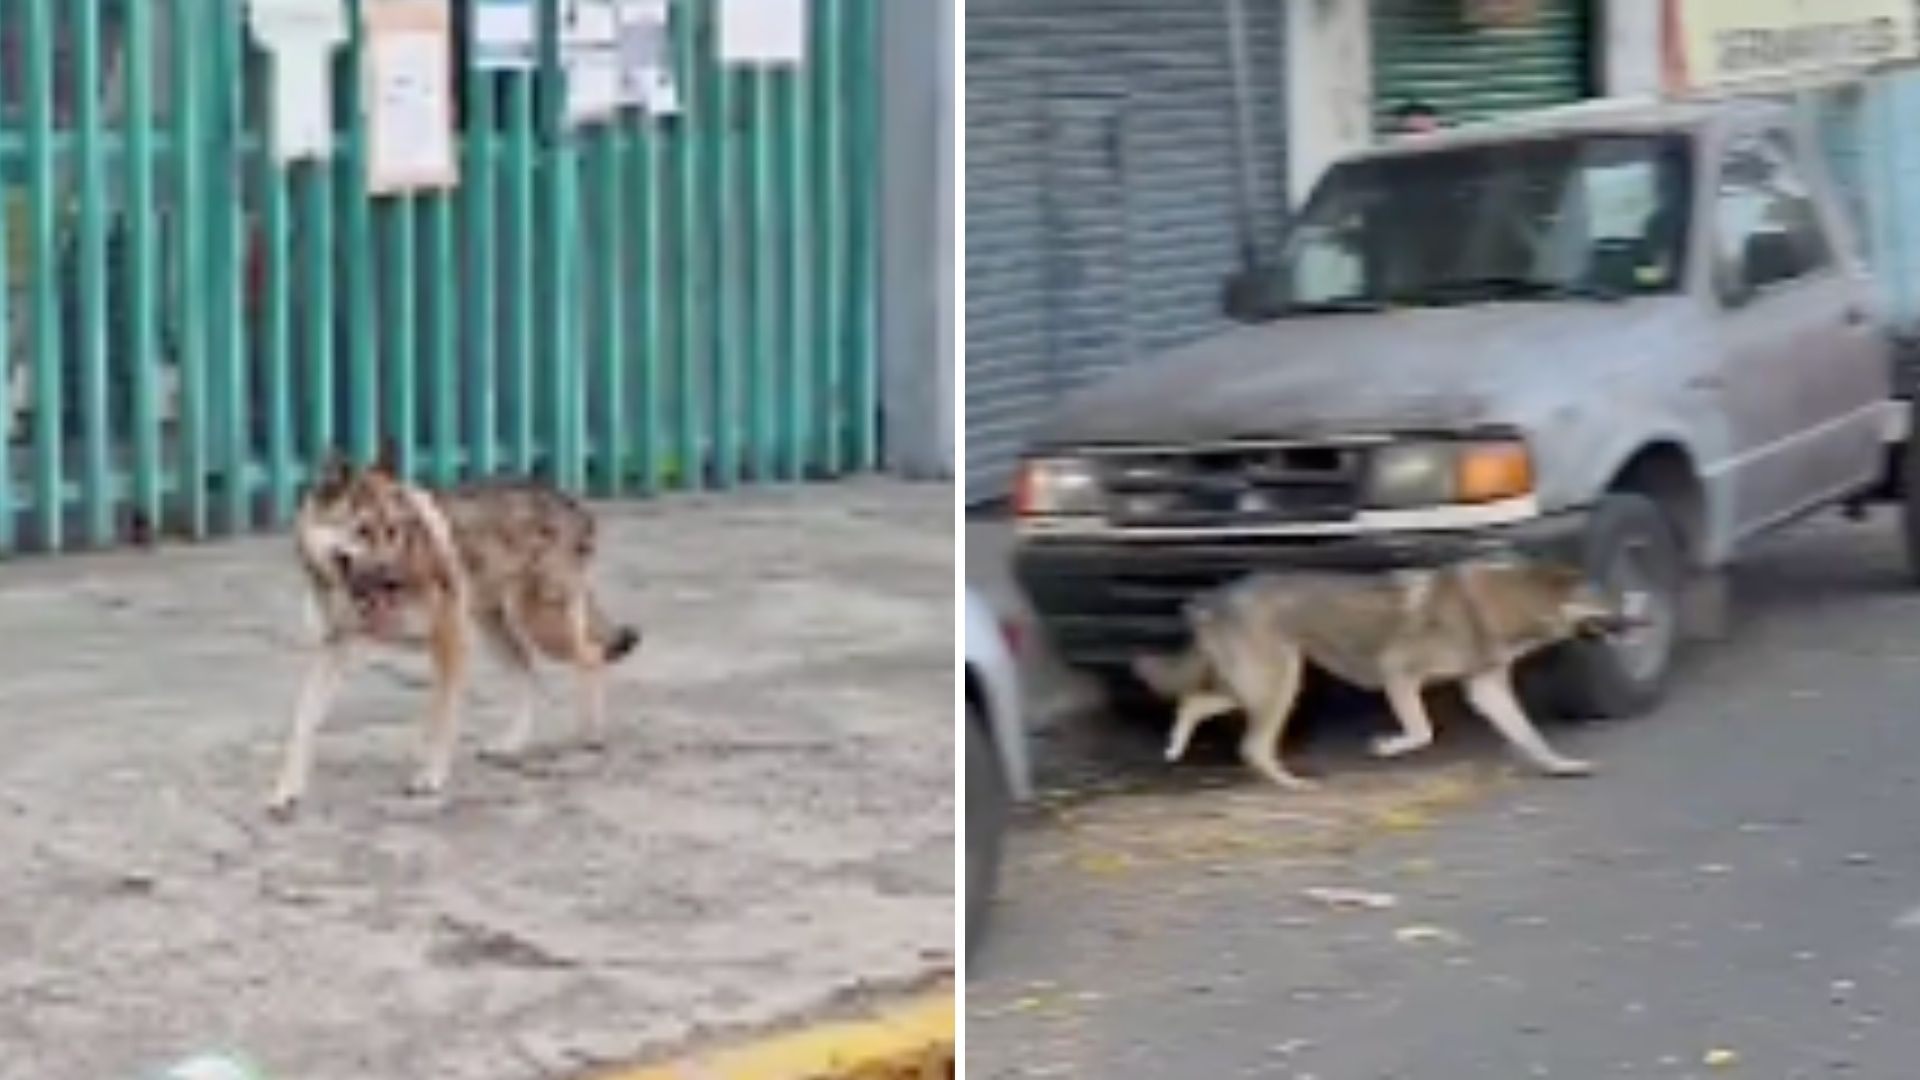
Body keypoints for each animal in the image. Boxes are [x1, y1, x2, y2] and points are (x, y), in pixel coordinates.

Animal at [270, 453, 645, 814]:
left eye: (393, 531)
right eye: (362, 531)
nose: (394, 579)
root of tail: (571, 500)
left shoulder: (448, 642)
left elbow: (440, 721)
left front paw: (430, 778)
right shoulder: (332, 653)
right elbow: (302, 725)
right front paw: (287, 791)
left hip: (541, 627)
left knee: (591, 657)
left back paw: (589, 739)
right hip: (494, 632)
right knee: (531, 676)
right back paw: (511, 744)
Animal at [1128, 557, 1643, 787]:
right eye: (1607, 603)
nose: (1641, 621)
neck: (1511, 601)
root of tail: (1210, 601)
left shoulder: (1487, 689)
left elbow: (1530, 736)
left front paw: (1561, 765)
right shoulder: (1399, 674)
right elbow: (1422, 733)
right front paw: (1387, 746)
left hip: (1260, 684)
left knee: (1195, 702)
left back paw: (1176, 745)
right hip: (1279, 684)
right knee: (1251, 747)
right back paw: (1293, 784)